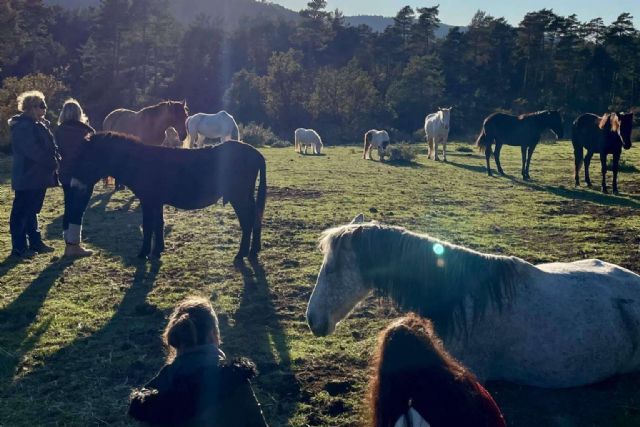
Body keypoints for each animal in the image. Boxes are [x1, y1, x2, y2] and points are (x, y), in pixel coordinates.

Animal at [70, 134, 268, 260]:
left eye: (87, 159)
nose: (73, 185)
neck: (138, 162)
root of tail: (256, 153)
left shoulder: (148, 201)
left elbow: (148, 226)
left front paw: (143, 254)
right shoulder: (156, 202)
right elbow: (159, 225)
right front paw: (157, 251)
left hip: (238, 196)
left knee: (247, 221)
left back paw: (241, 254)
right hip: (246, 195)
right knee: (256, 218)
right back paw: (253, 251)